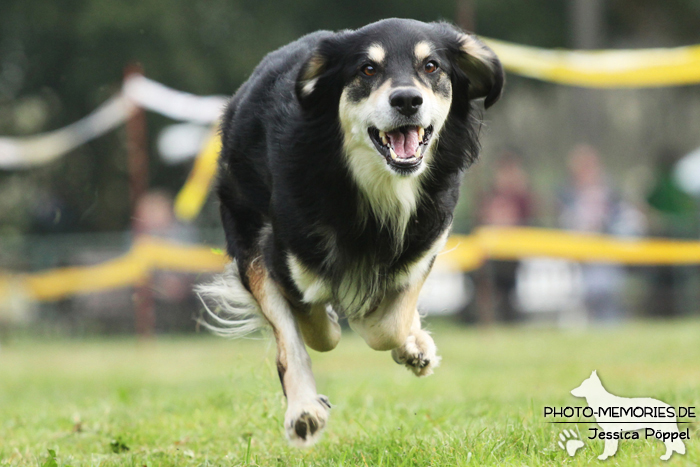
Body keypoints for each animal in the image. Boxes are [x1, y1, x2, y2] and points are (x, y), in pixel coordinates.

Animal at [198, 18, 504, 448]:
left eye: (431, 66)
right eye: (368, 69)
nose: (407, 100)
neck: (376, 188)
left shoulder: (427, 240)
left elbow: (387, 325)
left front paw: (408, 342)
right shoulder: (284, 258)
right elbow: (312, 325)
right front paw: (333, 324)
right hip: (248, 230)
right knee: (291, 338)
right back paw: (304, 409)